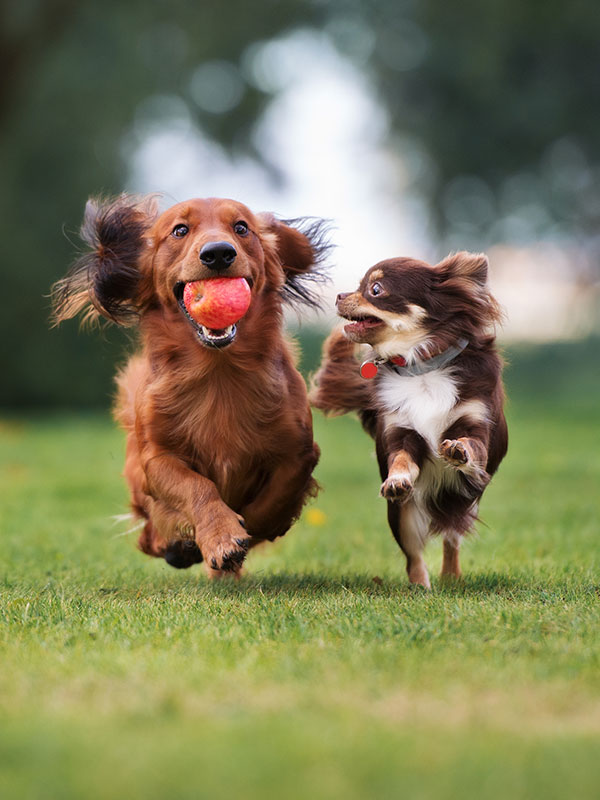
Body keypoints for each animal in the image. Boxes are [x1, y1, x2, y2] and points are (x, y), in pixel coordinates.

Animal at [53, 197, 330, 580]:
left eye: (241, 227)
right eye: (180, 230)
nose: (218, 253)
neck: (218, 373)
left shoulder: (299, 452)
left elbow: (273, 499)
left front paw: (242, 532)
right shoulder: (157, 459)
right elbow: (197, 487)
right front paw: (221, 536)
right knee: (149, 535)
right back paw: (178, 546)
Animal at [312, 252, 508, 588]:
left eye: (375, 289)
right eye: (359, 286)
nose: (339, 295)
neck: (421, 368)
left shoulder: (476, 424)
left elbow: (471, 445)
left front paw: (458, 449)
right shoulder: (401, 432)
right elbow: (402, 459)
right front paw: (397, 480)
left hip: (464, 502)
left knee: (451, 538)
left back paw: (451, 577)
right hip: (402, 517)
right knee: (414, 555)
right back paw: (420, 587)